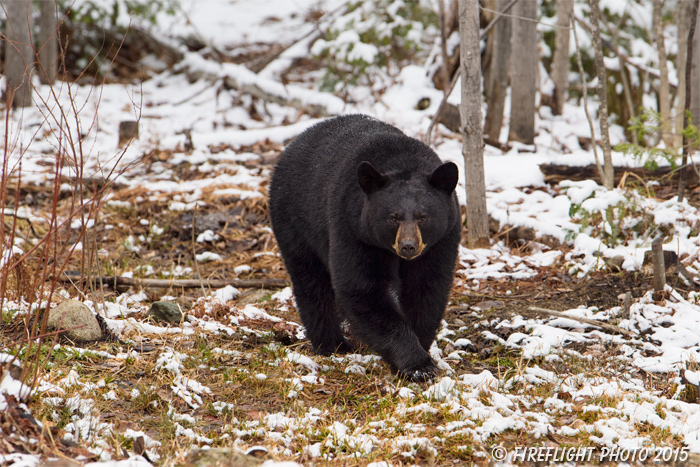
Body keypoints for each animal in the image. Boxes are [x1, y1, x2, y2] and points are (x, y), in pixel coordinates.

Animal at [270, 115, 462, 382]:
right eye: (393, 217)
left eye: (424, 217)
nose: (408, 246)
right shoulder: (353, 228)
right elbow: (362, 289)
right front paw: (417, 364)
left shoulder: (442, 239)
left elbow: (427, 287)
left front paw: (421, 347)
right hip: (294, 221)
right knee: (311, 283)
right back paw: (332, 344)